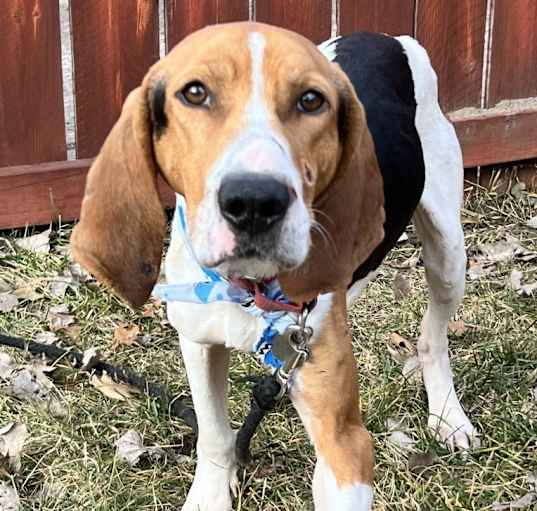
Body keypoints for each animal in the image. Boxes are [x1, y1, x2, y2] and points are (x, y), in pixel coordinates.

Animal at [70, 22, 478, 510]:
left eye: (311, 100)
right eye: (194, 92)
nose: (253, 201)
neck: (248, 289)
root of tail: (386, 38)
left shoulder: (346, 445)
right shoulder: (198, 342)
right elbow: (214, 435)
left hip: (449, 253)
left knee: (433, 338)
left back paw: (448, 417)